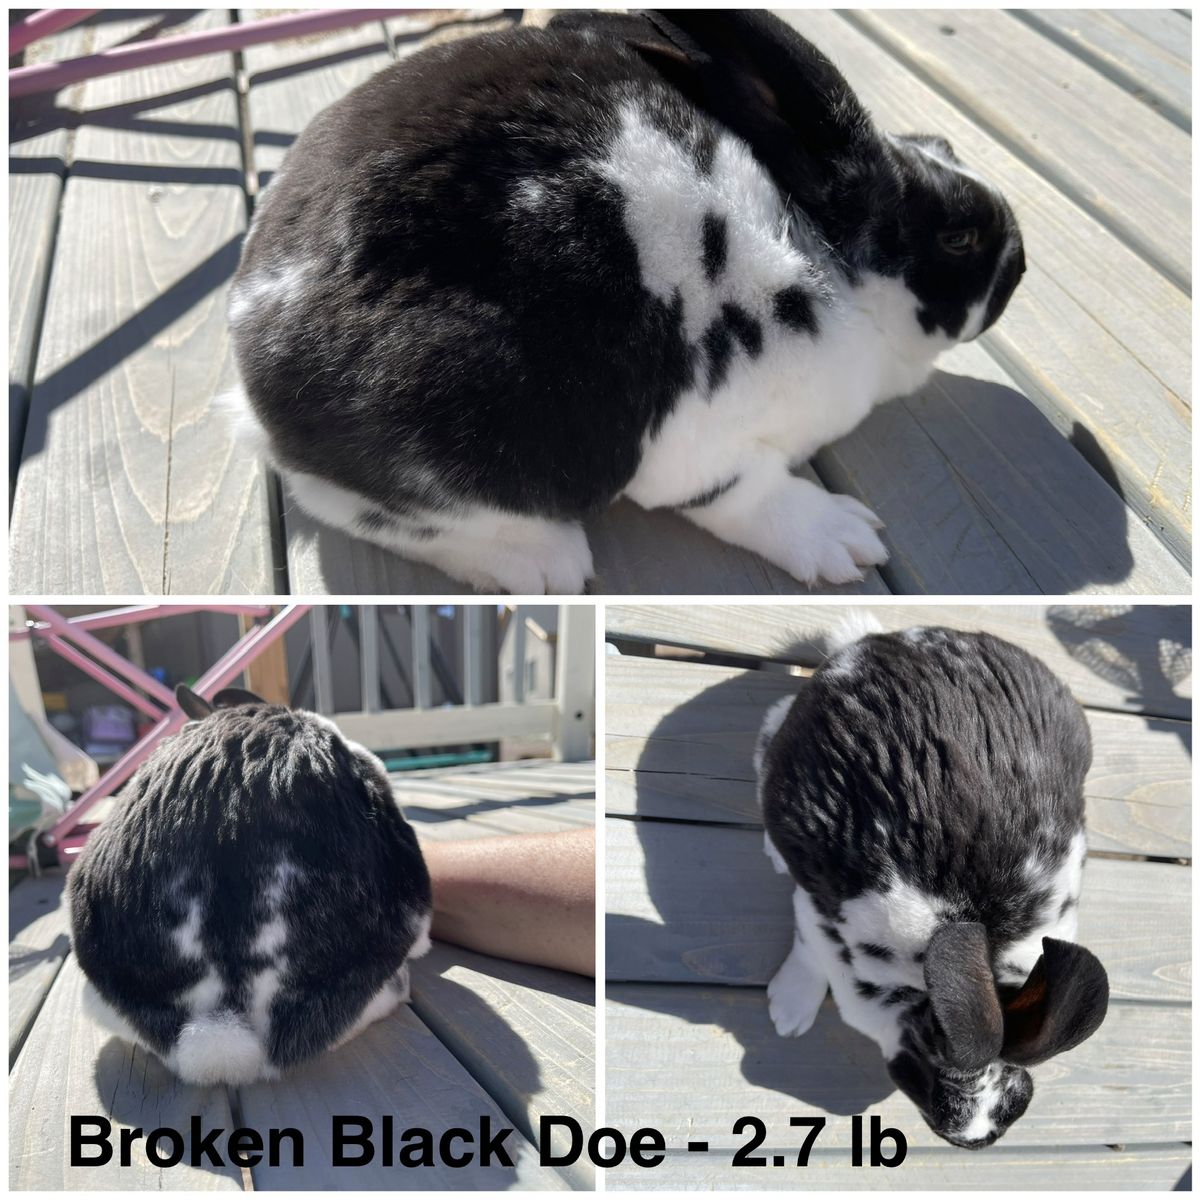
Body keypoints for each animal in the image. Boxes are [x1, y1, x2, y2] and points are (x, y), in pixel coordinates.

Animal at [224, 10, 1025, 594]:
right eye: (958, 237)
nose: (1018, 266)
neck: (832, 266)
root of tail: (250, 350)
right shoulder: (703, 446)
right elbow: (748, 495)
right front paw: (844, 540)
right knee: (351, 502)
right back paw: (542, 564)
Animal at [755, 615, 1109, 1148]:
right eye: (926, 1078)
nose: (972, 1141)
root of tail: (877, 644)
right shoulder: (817, 914)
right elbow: (807, 951)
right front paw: (788, 1015)